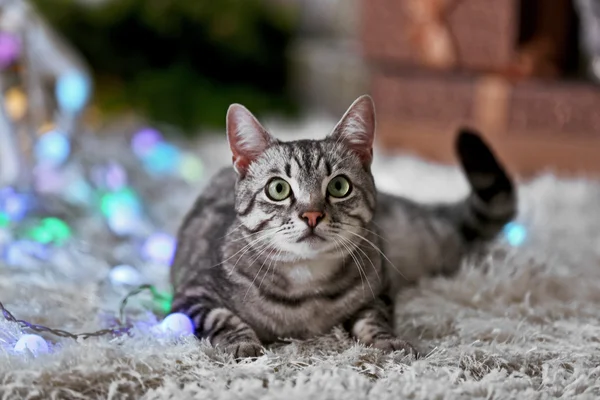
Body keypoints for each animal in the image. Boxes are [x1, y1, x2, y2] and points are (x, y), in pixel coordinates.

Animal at [169, 94, 516, 360]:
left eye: (338, 186)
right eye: (278, 189)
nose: (311, 215)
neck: (306, 289)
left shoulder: (379, 290)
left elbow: (375, 319)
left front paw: (389, 342)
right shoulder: (192, 296)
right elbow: (223, 319)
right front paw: (243, 344)